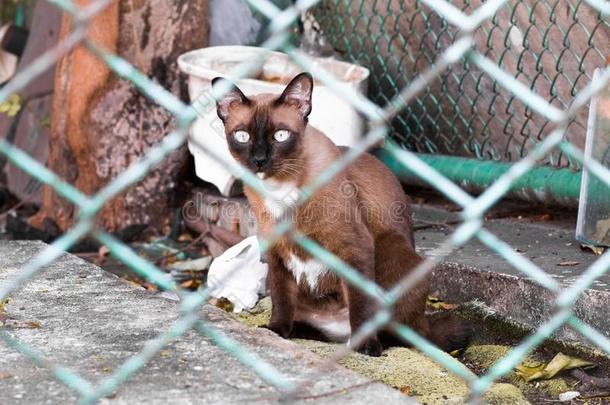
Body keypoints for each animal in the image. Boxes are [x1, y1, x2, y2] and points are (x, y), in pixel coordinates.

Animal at [211, 73, 468, 356]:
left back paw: (366, 343)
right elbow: (281, 300)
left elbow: (360, 304)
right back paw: (302, 331)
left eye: (280, 135)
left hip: (393, 251)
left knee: (395, 333)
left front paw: (366, 347)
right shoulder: (276, 255)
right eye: (242, 136)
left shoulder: (353, 248)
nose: (259, 160)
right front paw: (276, 332)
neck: (278, 191)